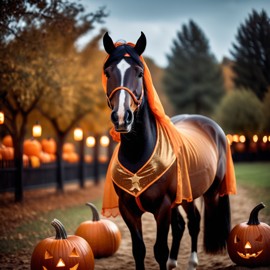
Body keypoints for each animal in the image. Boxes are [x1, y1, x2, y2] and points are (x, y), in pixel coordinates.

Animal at [101, 32, 236, 270]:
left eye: (139, 72)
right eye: (108, 72)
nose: (122, 117)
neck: (138, 153)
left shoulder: (162, 208)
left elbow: (160, 250)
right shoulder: (128, 210)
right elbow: (139, 250)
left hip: (206, 193)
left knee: (194, 222)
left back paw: (192, 261)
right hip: (183, 197)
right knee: (182, 224)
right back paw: (175, 261)